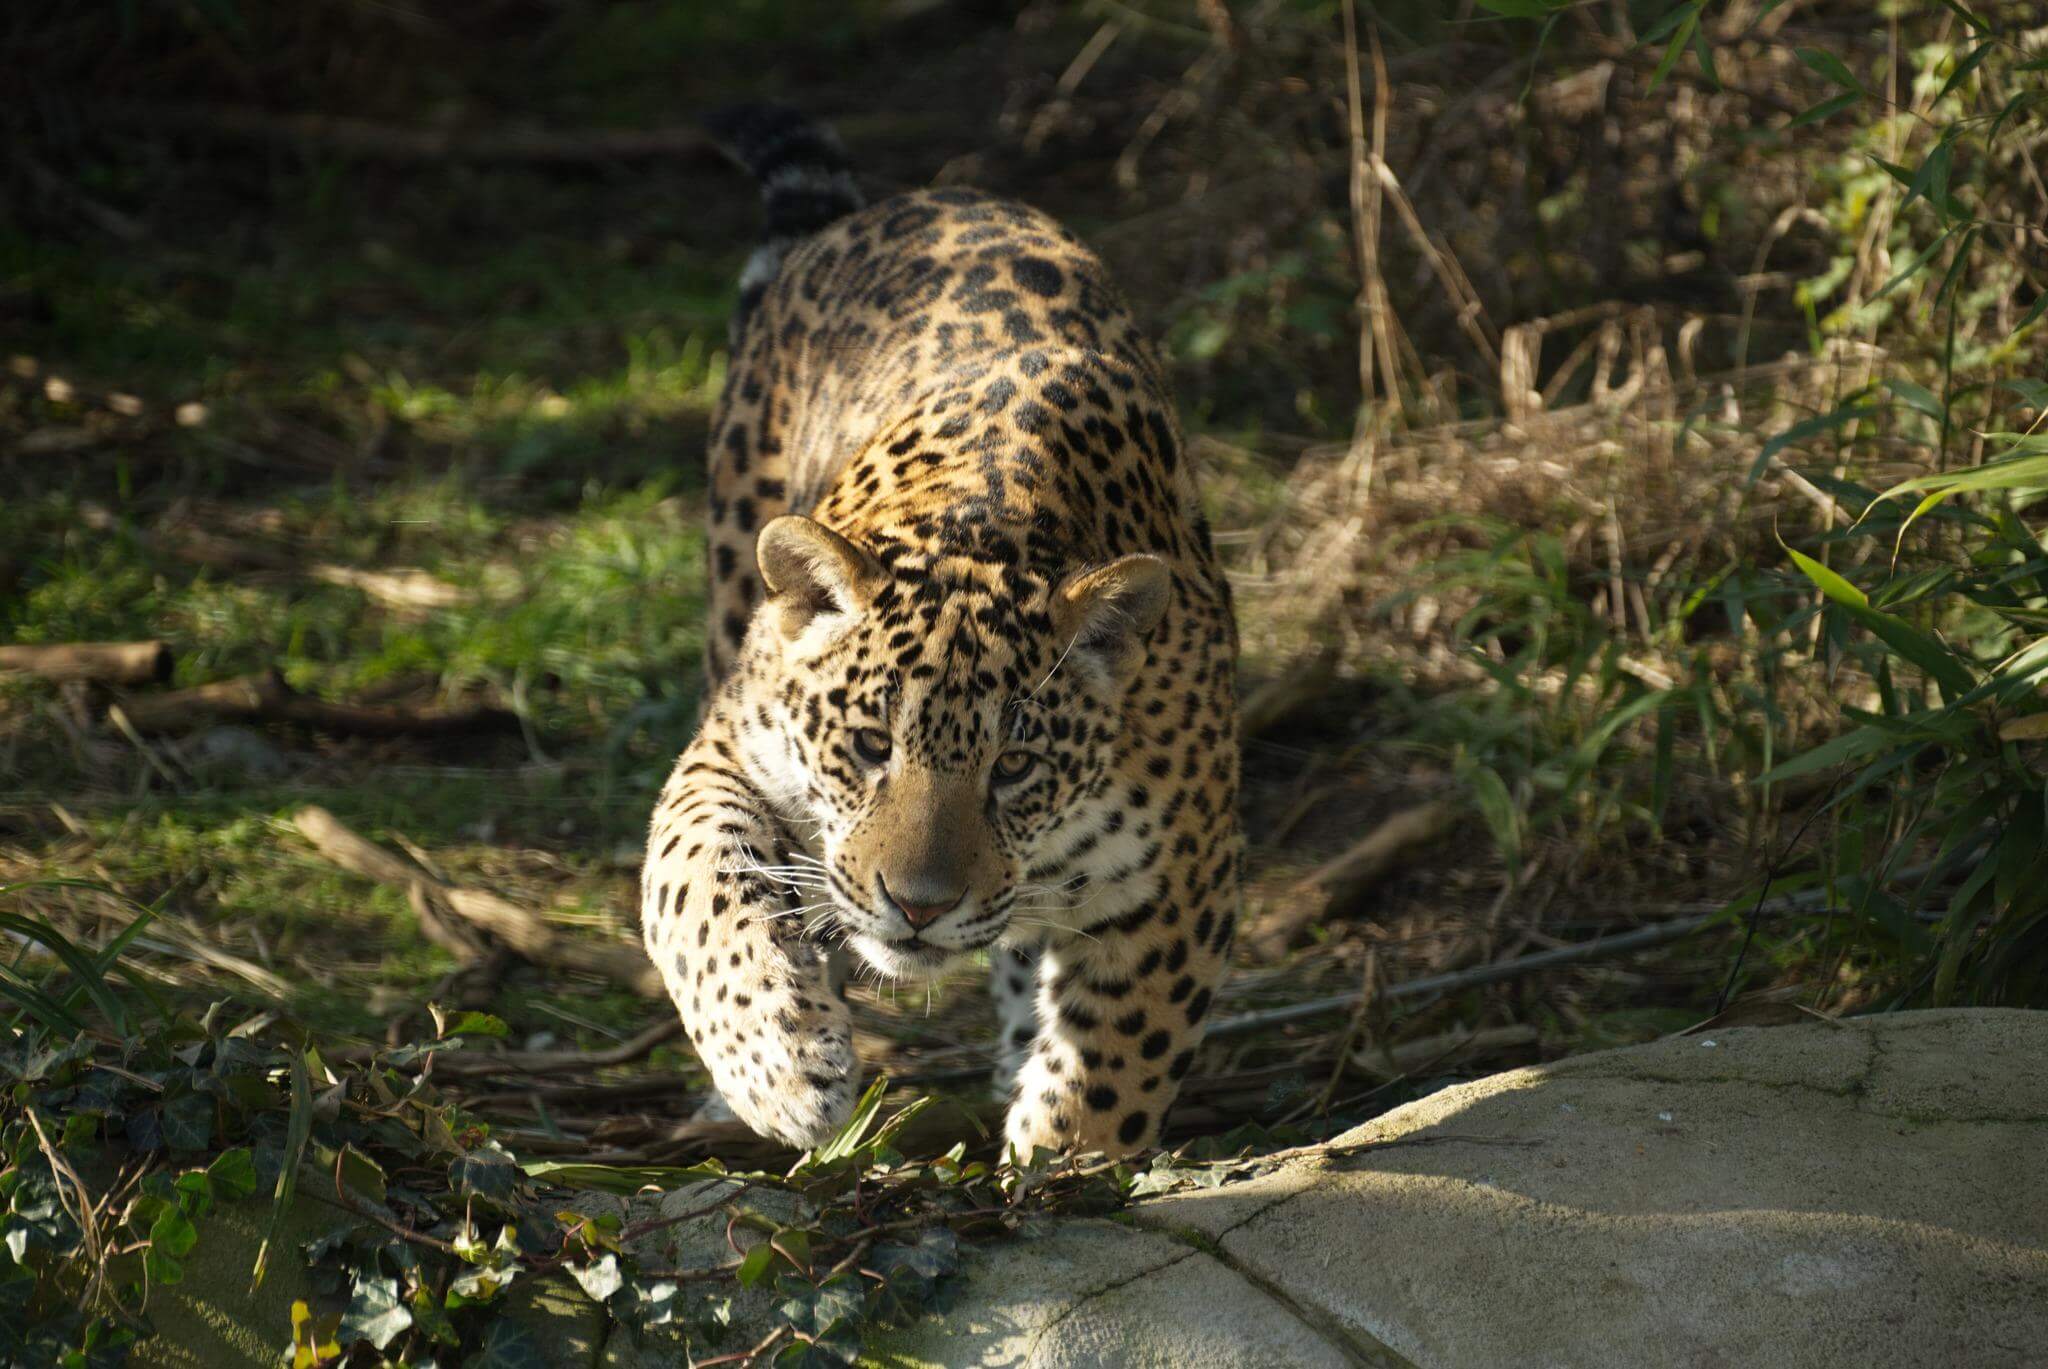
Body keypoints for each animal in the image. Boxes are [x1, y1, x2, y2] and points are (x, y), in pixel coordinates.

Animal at [640, 104, 1241, 1160]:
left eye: (1015, 767)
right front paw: (782, 1065)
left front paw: (1059, 1157)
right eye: (869, 745)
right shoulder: (727, 751)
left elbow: (1120, 1048)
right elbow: (700, 883)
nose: (918, 906)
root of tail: (903, 204)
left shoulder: (1186, 861)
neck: (991, 520)